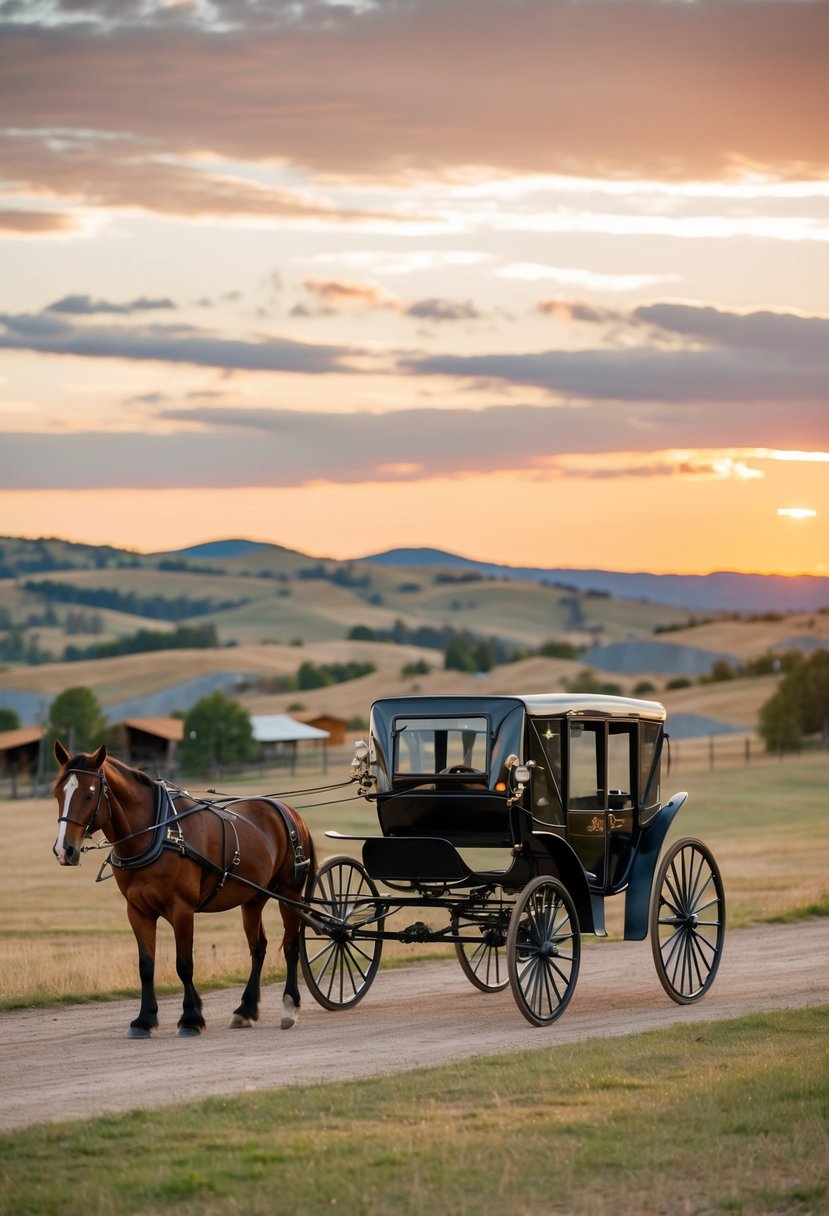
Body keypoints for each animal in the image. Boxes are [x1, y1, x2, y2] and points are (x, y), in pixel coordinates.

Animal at [51, 734, 313, 1040]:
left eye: (89, 794)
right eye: (58, 794)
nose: (64, 851)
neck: (157, 832)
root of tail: (289, 812)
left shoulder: (182, 909)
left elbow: (184, 965)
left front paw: (190, 1018)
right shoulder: (137, 911)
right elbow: (146, 966)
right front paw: (144, 1020)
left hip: (289, 893)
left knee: (291, 946)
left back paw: (289, 1005)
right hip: (253, 897)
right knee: (258, 948)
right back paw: (245, 1009)